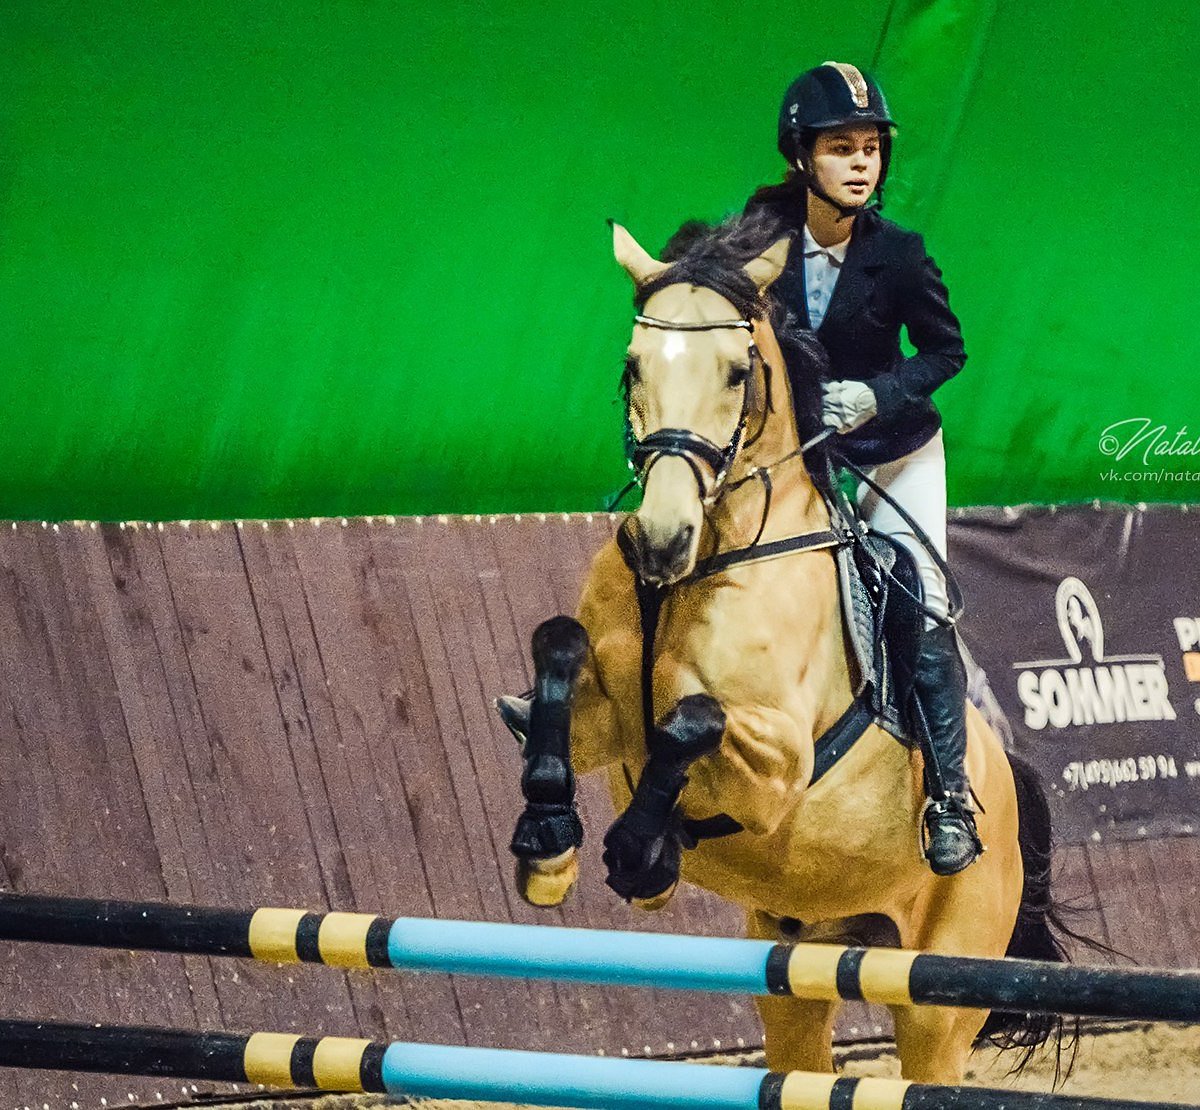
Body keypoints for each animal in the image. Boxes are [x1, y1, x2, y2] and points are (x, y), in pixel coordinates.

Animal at [504, 210, 1060, 1084]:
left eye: (738, 374)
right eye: (631, 367)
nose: (661, 540)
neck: (706, 559)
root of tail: (1007, 785)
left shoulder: (779, 763)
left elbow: (691, 718)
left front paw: (641, 854)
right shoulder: (603, 722)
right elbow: (558, 653)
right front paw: (548, 841)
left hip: (938, 993)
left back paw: (949, 830)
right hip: (798, 970)